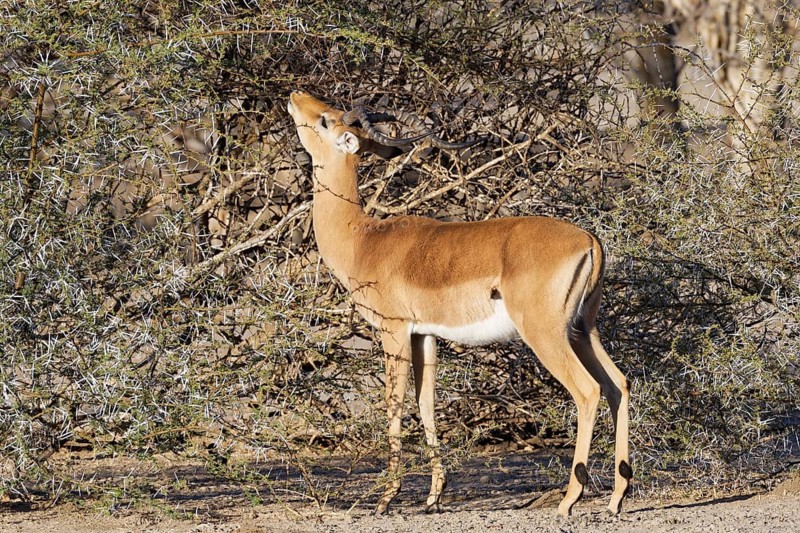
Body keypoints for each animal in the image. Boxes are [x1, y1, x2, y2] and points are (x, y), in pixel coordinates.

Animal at [286, 91, 631, 516]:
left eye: (326, 120)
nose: (295, 97)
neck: (363, 239)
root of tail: (590, 240)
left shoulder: (393, 331)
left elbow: (394, 404)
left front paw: (386, 498)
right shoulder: (425, 336)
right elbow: (427, 405)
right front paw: (434, 495)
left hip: (545, 335)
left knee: (588, 391)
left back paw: (570, 499)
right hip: (583, 330)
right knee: (618, 384)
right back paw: (617, 498)